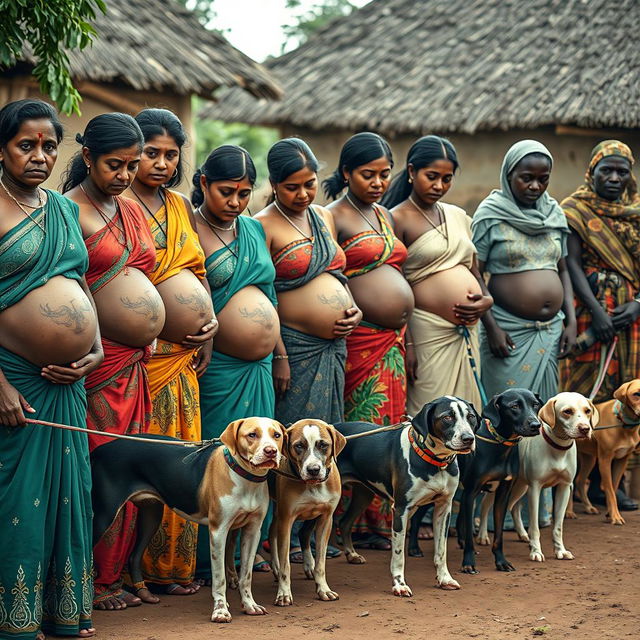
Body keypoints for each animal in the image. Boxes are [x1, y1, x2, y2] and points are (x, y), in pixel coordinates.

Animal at [89, 418, 284, 624]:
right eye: (252, 435)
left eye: (277, 435)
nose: (271, 451)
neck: (245, 477)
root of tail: (100, 450)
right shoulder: (218, 531)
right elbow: (219, 578)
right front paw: (220, 611)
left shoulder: (253, 531)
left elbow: (246, 576)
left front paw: (249, 605)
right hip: (103, 515)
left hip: (152, 512)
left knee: (134, 556)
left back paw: (144, 593)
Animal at [268, 418, 348, 608]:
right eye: (298, 446)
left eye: (323, 445)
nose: (313, 469)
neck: (312, 485)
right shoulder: (286, 520)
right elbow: (286, 565)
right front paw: (284, 593)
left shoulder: (326, 519)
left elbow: (321, 563)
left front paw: (323, 589)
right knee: (271, 534)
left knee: (303, 533)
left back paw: (308, 565)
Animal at [458, 388, 544, 572]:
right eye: (514, 406)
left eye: (535, 404)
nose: (536, 425)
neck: (499, 445)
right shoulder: (471, 492)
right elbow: (470, 536)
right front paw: (468, 563)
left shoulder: (503, 494)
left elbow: (499, 535)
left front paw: (501, 561)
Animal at [478, 392, 596, 564]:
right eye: (567, 411)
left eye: (587, 411)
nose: (585, 428)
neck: (558, 447)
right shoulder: (535, 488)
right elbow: (534, 527)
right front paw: (536, 552)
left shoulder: (564, 487)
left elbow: (558, 527)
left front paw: (560, 550)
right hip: (501, 487)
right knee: (485, 506)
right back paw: (482, 535)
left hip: (520, 486)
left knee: (513, 507)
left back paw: (522, 534)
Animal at [568, 380, 640, 524]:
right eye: (636, 394)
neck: (622, 421)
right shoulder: (605, 460)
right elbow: (610, 490)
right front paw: (615, 516)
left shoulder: (622, 460)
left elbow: (613, 487)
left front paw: (610, 513)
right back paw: (568, 512)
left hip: (589, 459)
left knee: (579, 481)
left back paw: (588, 507)